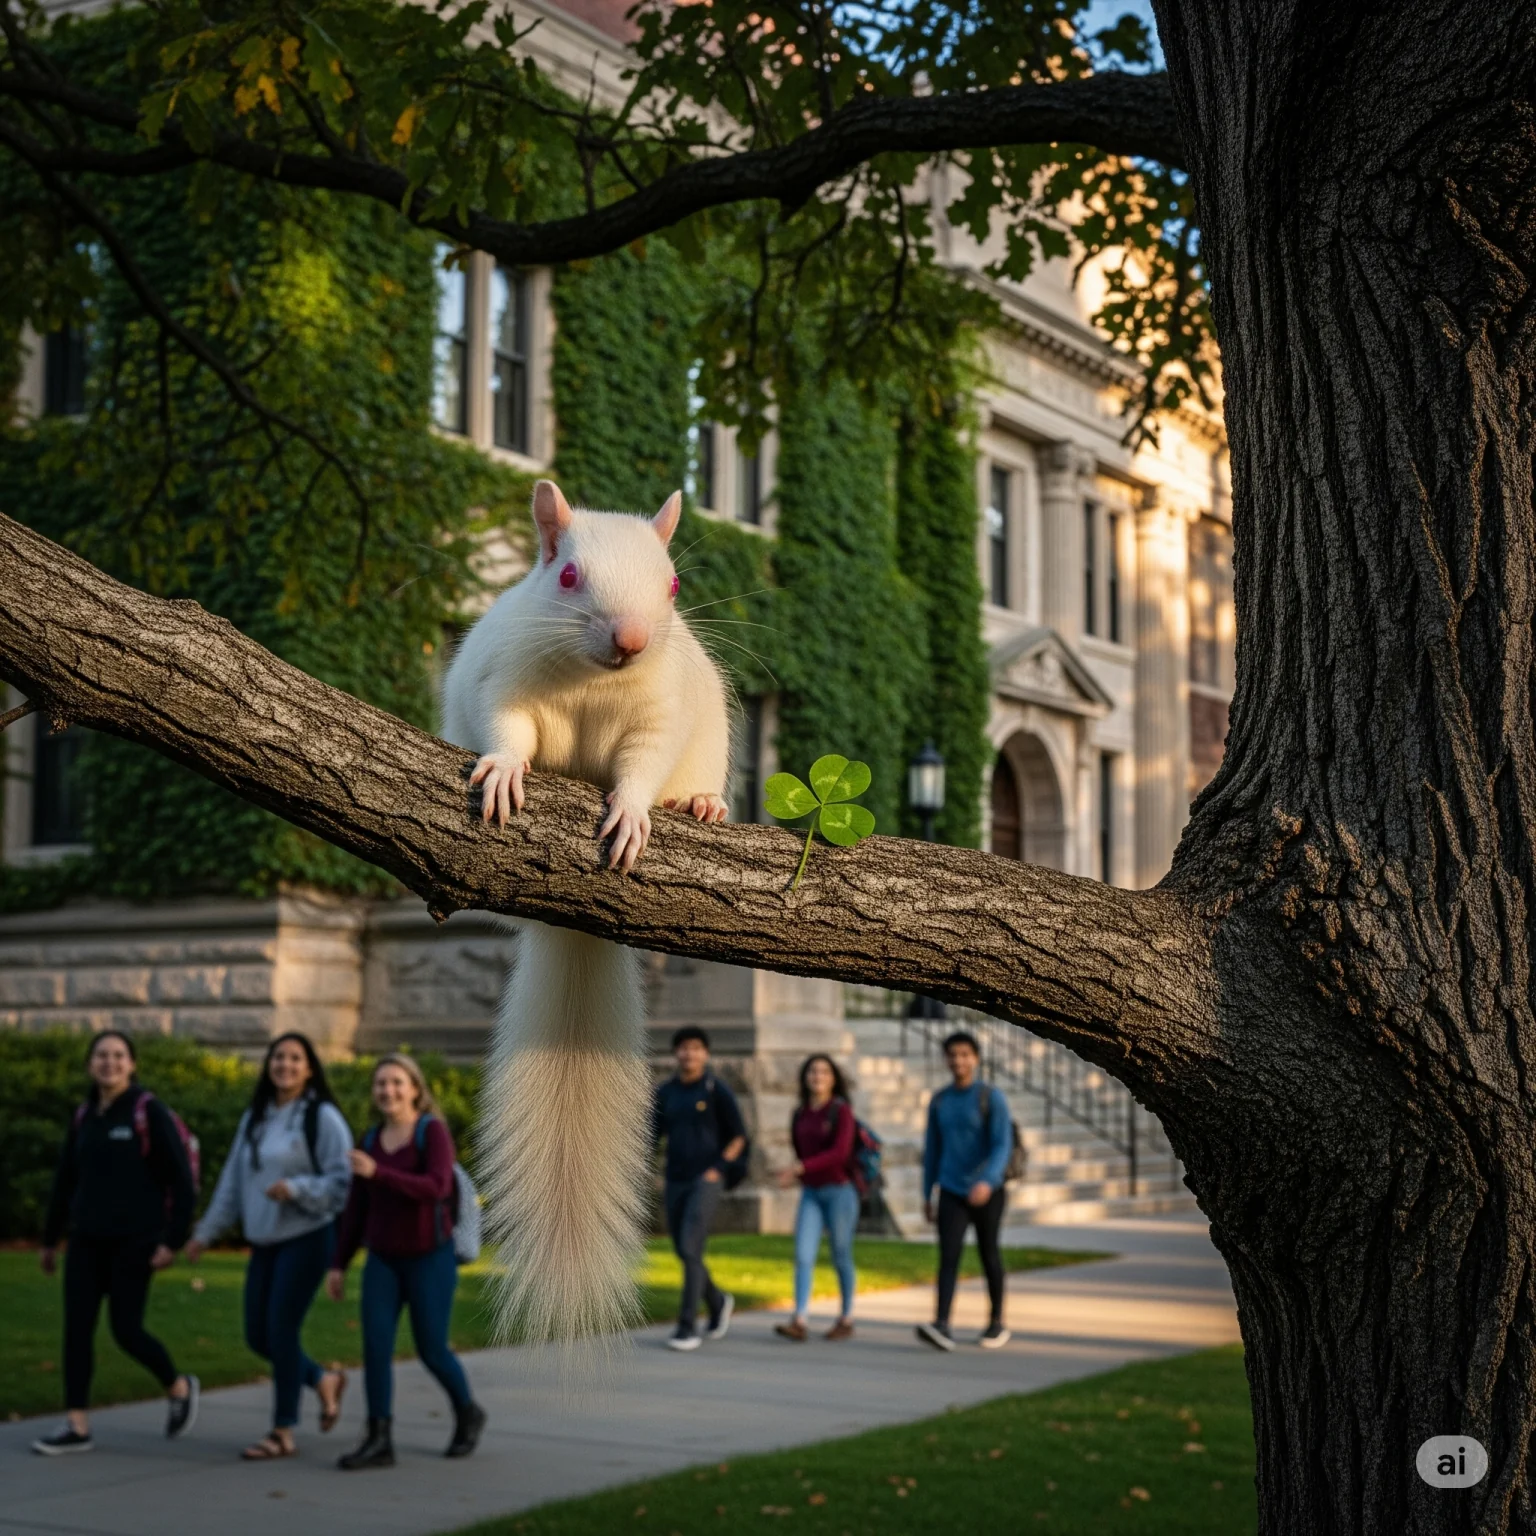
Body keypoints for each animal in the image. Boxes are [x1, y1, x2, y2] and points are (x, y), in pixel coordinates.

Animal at [442, 479, 731, 1347]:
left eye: (672, 584)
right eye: (568, 577)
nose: (632, 639)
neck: (591, 682)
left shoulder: (656, 717)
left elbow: (644, 762)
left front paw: (634, 813)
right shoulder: (504, 681)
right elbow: (506, 727)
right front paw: (505, 770)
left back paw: (702, 803)